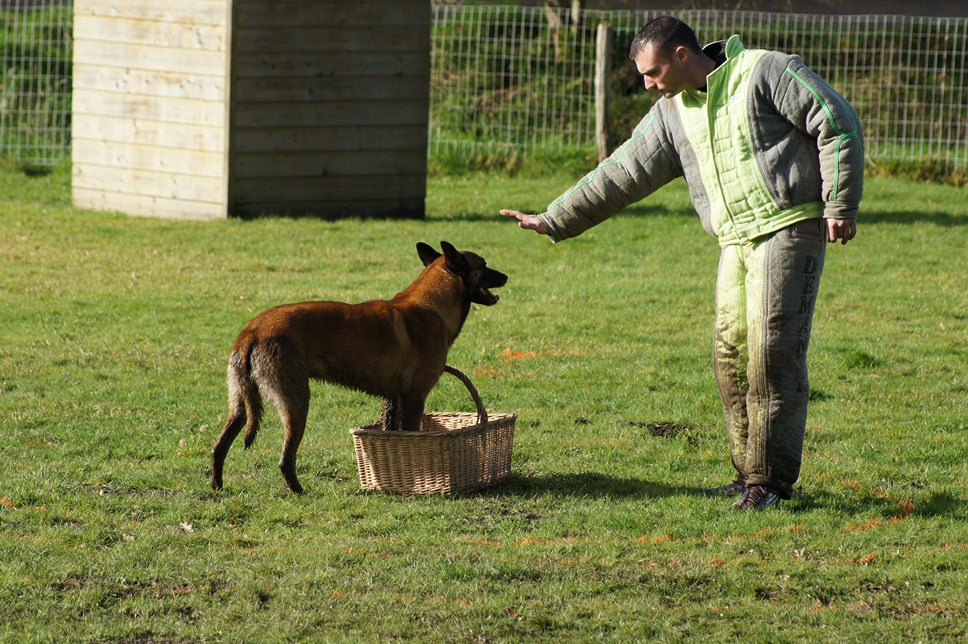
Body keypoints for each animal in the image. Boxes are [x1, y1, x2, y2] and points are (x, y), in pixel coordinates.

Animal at [211, 242, 506, 494]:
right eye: (484, 264)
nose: (505, 276)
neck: (431, 307)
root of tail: (252, 330)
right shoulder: (414, 398)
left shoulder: (393, 399)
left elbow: (392, 433)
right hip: (296, 403)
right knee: (285, 458)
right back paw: (299, 491)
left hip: (239, 406)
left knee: (219, 447)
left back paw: (217, 487)